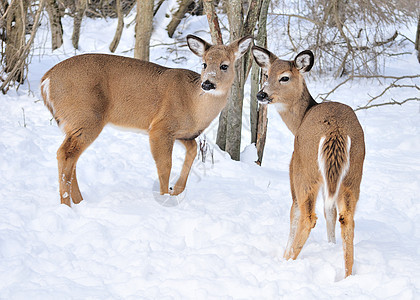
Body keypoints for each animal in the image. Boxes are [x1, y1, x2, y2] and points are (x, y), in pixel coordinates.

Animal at [41, 34, 254, 206]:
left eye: (224, 65)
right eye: (204, 64)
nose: (207, 83)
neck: (194, 104)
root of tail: (46, 80)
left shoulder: (183, 134)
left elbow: (193, 151)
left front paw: (176, 190)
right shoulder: (160, 128)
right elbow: (165, 165)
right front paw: (164, 197)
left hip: (73, 123)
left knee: (71, 158)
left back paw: (79, 202)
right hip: (86, 117)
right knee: (65, 154)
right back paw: (67, 205)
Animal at [253, 45, 364, 278]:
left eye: (284, 77)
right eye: (266, 74)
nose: (261, 94)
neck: (300, 119)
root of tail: (335, 131)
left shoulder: (294, 167)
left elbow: (294, 214)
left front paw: (285, 254)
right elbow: (330, 212)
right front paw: (330, 245)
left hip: (305, 170)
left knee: (307, 216)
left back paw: (288, 262)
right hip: (353, 175)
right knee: (346, 218)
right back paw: (347, 274)